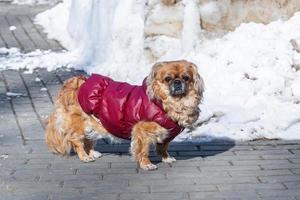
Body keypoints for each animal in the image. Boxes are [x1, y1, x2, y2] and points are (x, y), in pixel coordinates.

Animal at [45, 59, 204, 170]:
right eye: (168, 79)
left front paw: (166, 158)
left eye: (186, 78)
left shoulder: (166, 133)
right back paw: (84, 156)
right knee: (76, 141)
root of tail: (75, 82)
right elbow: (143, 150)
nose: (177, 82)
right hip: (79, 125)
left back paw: (91, 153)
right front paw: (146, 164)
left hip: (93, 123)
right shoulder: (142, 132)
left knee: (88, 140)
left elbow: (163, 147)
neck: (171, 103)